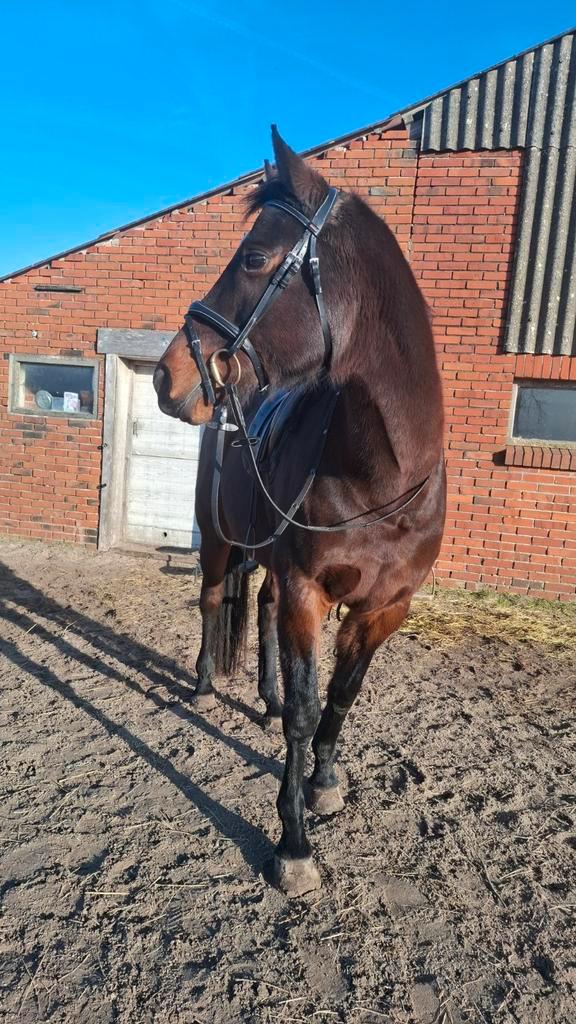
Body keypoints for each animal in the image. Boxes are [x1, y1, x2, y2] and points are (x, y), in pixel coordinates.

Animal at [153, 127, 445, 897]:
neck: (382, 478)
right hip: (222, 543)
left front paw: (324, 783)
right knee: (212, 599)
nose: (167, 374)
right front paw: (292, 845)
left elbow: (340, 698)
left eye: (255, 257)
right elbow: (311, 705)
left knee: (256, 611)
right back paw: (205, 685)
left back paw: (265, 697)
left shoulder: (386, 606)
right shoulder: (308, 590)